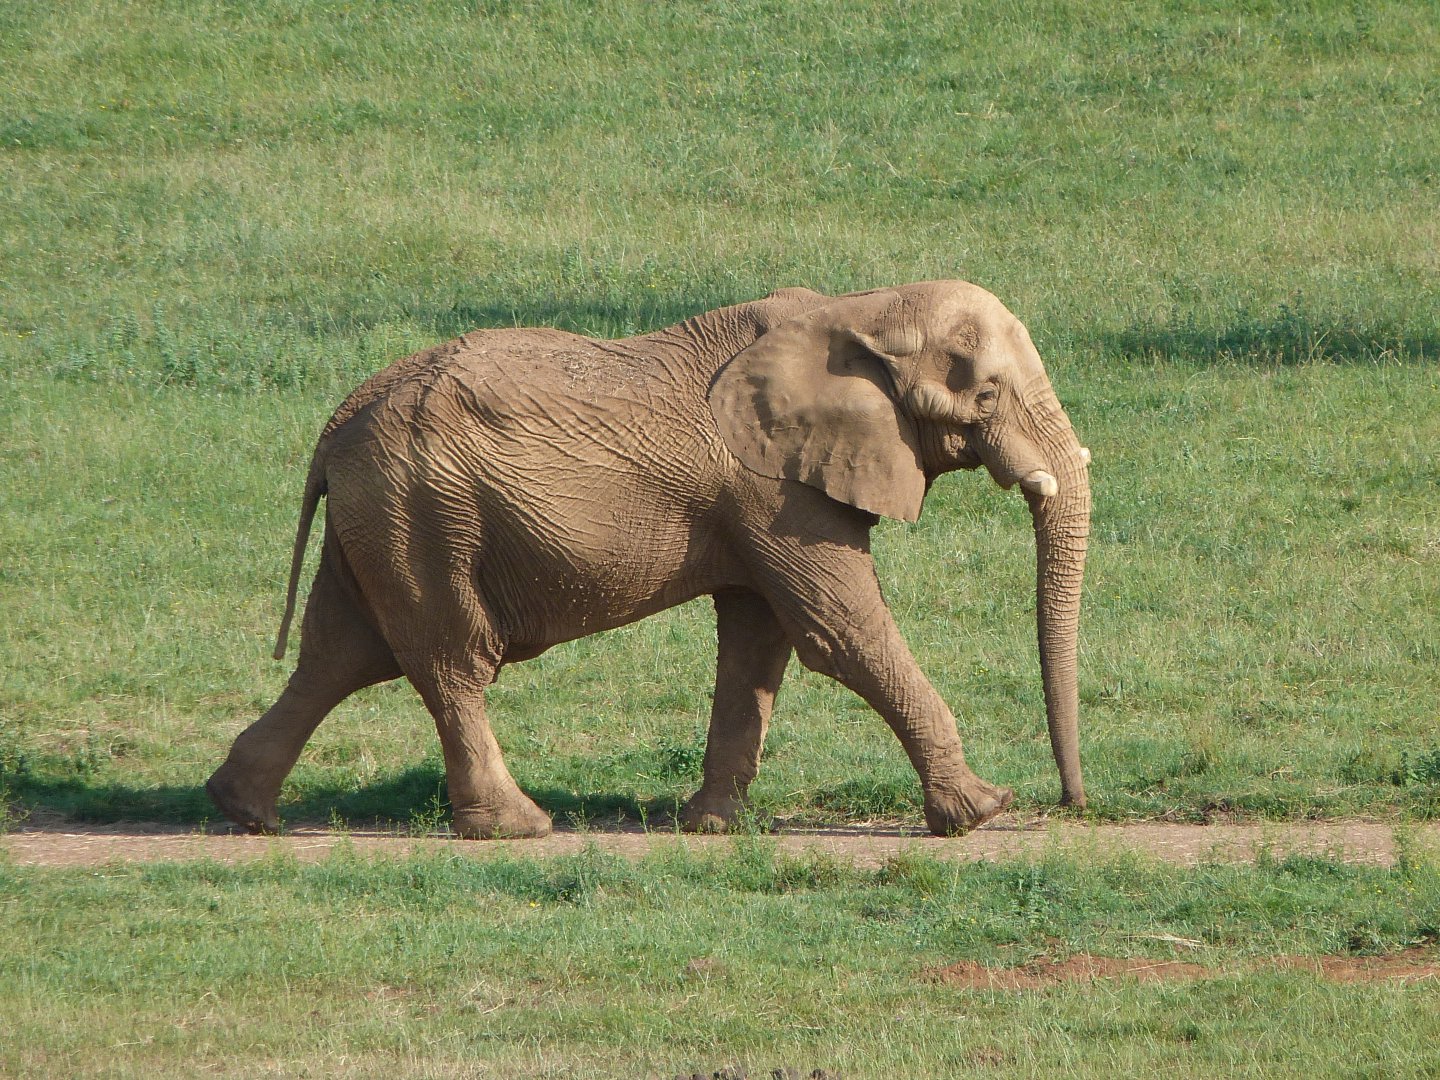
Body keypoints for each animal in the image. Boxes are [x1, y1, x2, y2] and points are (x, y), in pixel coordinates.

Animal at [206, 281, 1091, 839]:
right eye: (985, 395)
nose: (1073, 802)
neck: (861, 308)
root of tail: (335, 427)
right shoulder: (772, 487)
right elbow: (841, 632)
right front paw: (981, 813)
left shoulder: (757, 497)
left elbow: (758, 642)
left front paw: (712, 827)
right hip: (423, 514)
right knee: (449, 659)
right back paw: (518, 830)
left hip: (383, 515)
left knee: (342, 653)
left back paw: (243, 812)